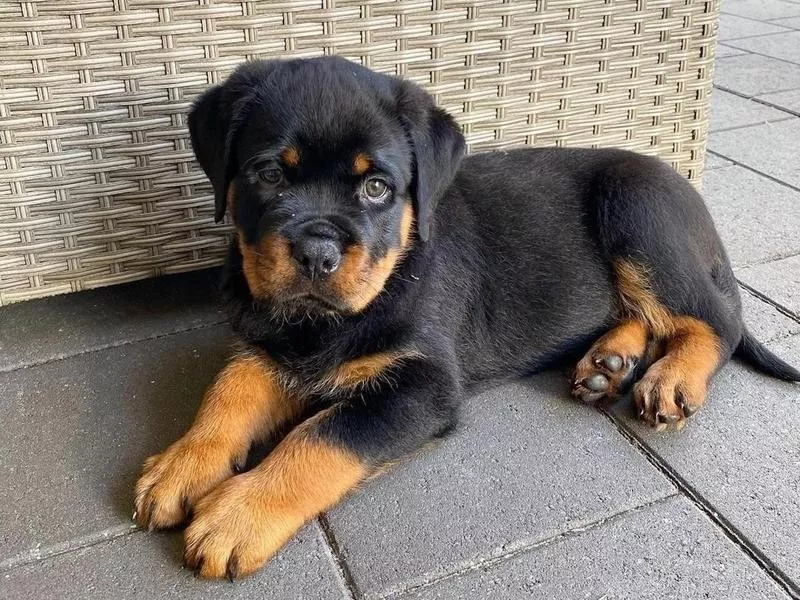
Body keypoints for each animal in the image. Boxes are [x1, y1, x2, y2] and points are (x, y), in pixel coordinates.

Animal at [133, 57, 800, 580]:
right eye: (270, 174)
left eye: (376, 188)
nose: (318, 255)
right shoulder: (267, 338)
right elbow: (229, 389)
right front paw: (181, 464)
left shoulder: (423, 383)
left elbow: (321, 436)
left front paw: (237, 514)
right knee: (646, 313)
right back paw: (611, 361)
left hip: (637, 213)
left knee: (713, 321)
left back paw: (671, 378)